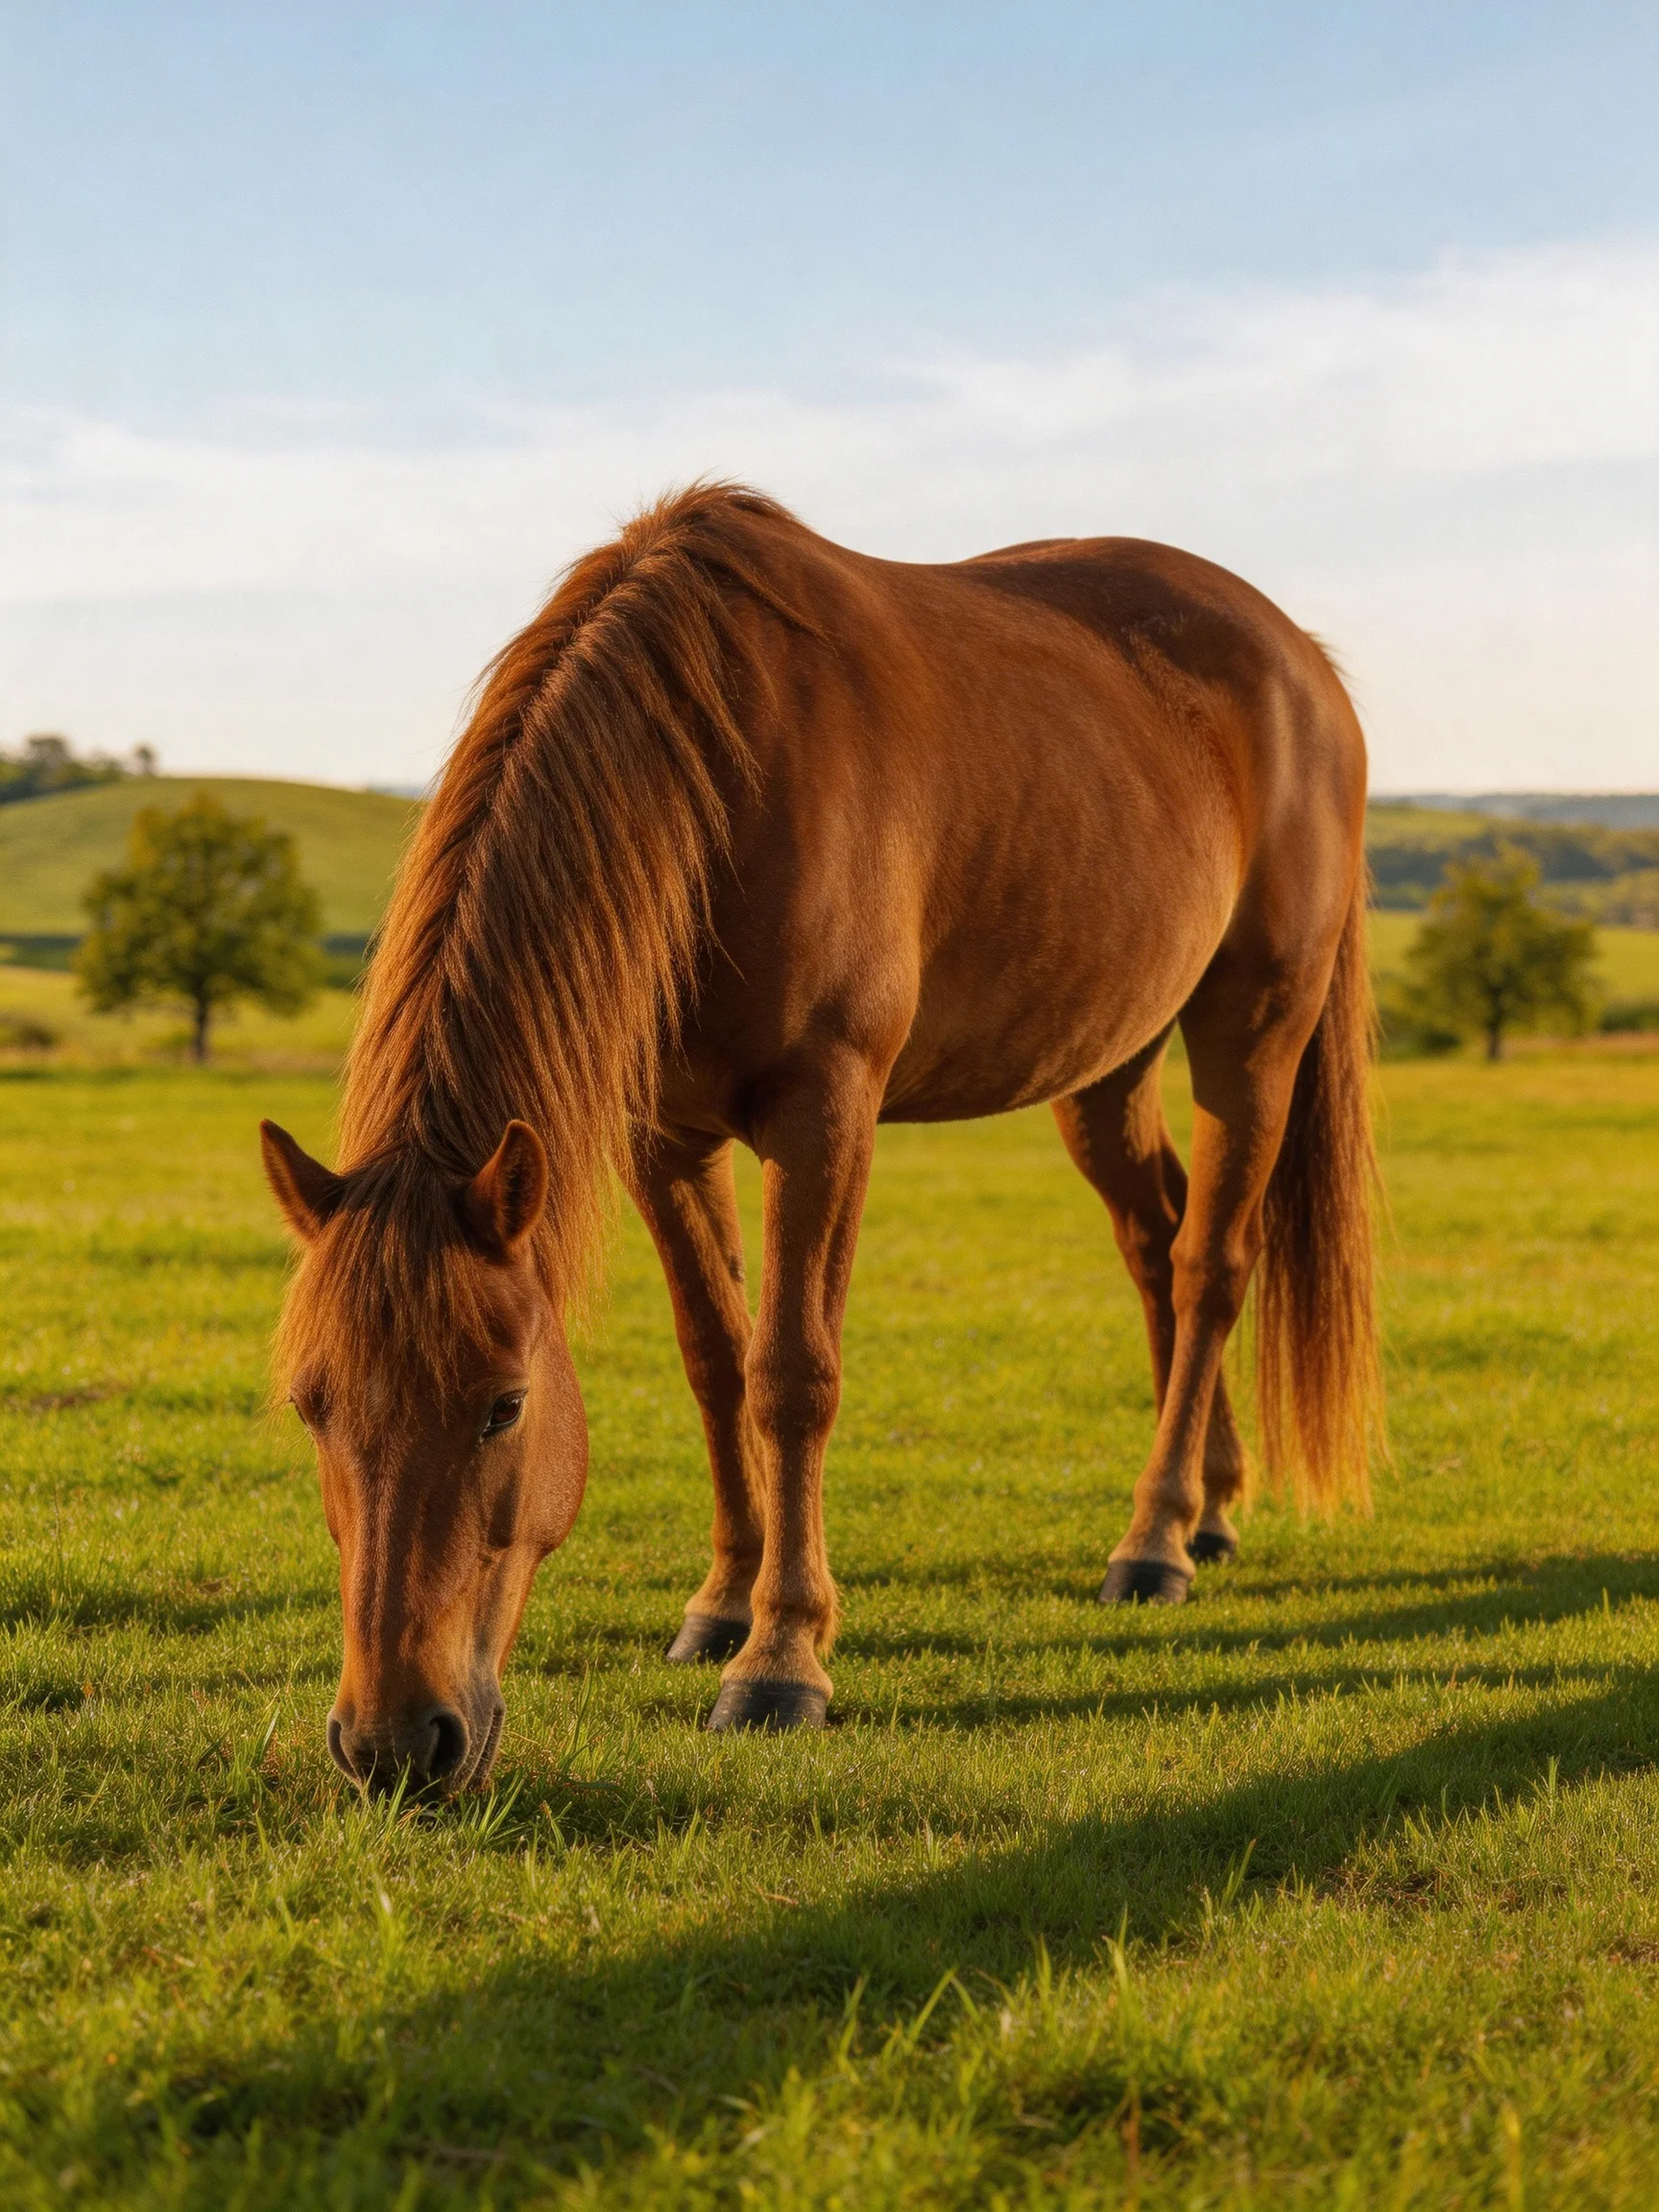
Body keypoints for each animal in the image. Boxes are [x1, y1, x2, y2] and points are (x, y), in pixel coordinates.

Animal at [261, 482, 1381, 1792]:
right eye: (312, 1405)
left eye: (503, 1406)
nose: (392, 1745)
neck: (723, 770)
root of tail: (1303, 662)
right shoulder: (661, 1134)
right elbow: (714, 1359)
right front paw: (720, 1604)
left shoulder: (825, 1107)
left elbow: (791, 1374)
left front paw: (781, 1659)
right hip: (1109, 1064)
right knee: (1155, 1246)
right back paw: (1207, 1504)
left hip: (1253, 1033)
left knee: (1211, 1266)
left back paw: (1152, 1544)